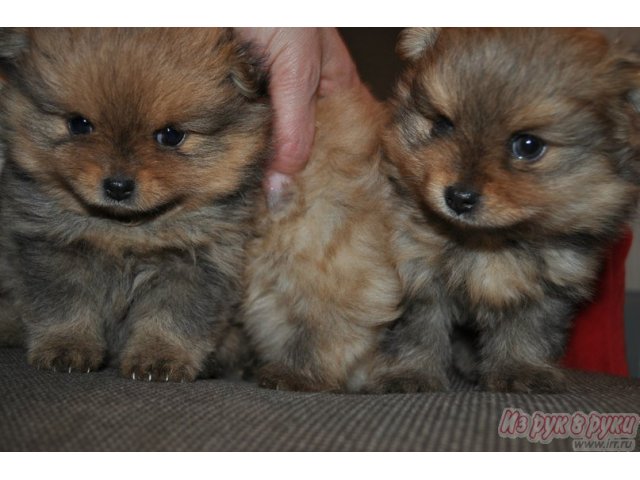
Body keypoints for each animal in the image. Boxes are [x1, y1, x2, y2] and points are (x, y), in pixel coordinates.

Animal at [0, 28, 270, 382]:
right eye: (78, 124)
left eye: (170, 135)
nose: (117, 186)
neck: (126, 231)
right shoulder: (50, 247)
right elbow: (63, 305)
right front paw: (66, 347)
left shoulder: (197, 262)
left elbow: (173, 317)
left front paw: (160, 357)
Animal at [370, 28, 640, 392]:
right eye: (441, 125)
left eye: (528, 145)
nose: (458, 197)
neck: (486, 240)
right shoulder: (415, 269)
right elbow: (417, 331)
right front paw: (410, 373)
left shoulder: (548, 285)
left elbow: (527, 331)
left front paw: (520, 369)